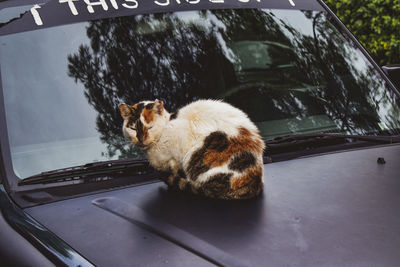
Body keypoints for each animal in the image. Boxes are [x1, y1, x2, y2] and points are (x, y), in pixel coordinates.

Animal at [120, 99, 268, 200]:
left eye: (150, 127)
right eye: (133, 128)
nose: (141, 139)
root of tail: (254, 182)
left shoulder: (177, 156)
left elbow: (175, 171)